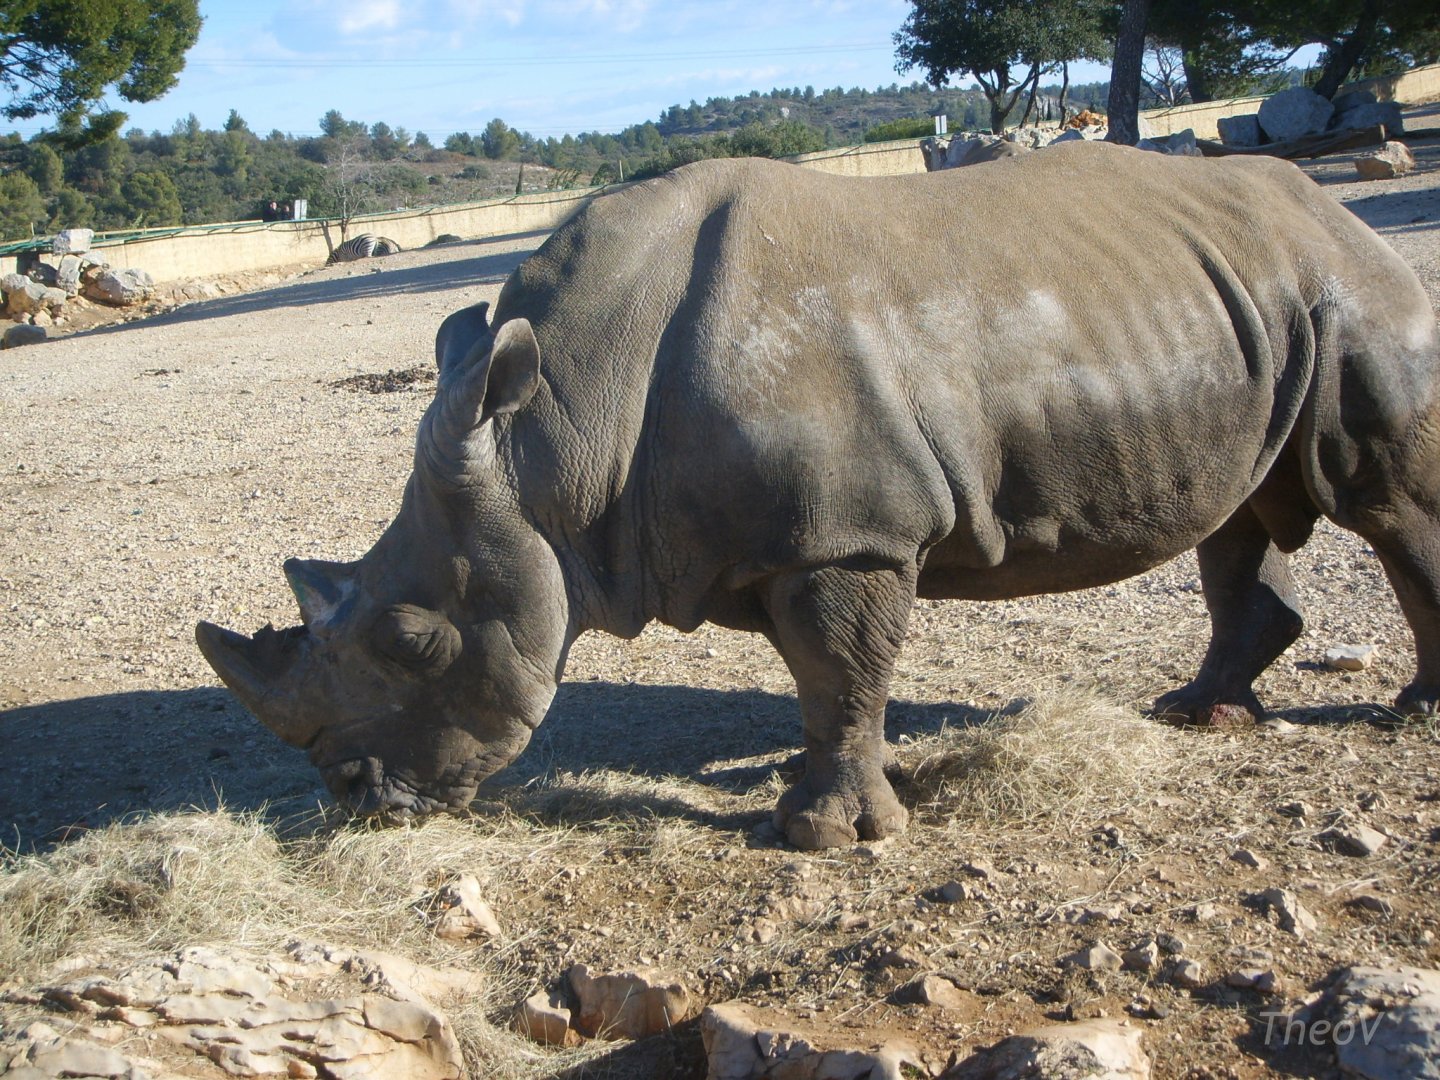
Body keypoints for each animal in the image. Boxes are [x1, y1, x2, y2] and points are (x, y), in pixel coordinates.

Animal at [197, 145, 1440, 850]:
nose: (358, 794)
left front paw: (825, 840)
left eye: (414, 640)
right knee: (1245, 503)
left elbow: (842, 668)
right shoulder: (760, 540)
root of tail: (1334, 210)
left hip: (1351, 289)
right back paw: (1202, 710)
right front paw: (823, 793)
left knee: (1379, 501)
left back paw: (1407, 715)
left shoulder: (849, 534)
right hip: (1232, 299)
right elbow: (822, 681)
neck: (554, 441)